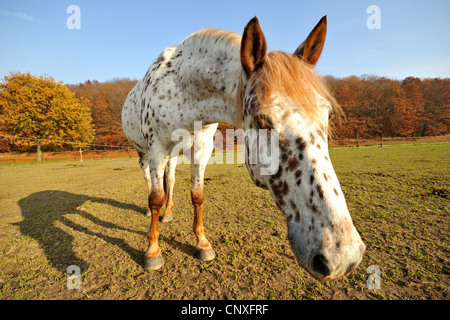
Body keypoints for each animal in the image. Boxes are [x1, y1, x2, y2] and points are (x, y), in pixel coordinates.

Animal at [122, 16, 366, 282]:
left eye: (328, 114)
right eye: (263, 122)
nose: (342, 256)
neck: (181, 90)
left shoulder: (202, 149)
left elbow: (197, 195)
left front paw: (202, 244)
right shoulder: (156, 148)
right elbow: (155, 198)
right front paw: (152, 251)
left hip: (173, 156)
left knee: (171, 180)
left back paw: (168, 213)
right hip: (144, 154)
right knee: (150, 182)